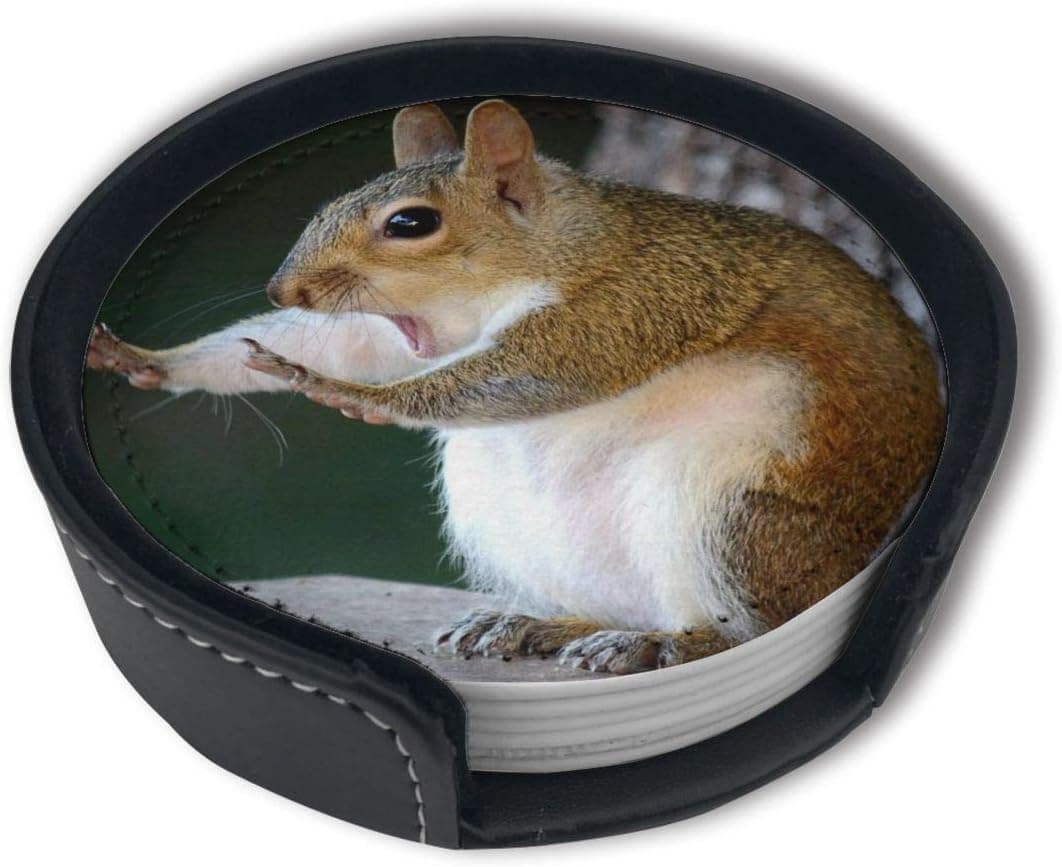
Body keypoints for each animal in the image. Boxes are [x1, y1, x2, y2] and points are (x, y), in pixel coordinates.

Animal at [87, 99, 943, 674]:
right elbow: (342, 341)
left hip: (735, 508)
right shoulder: (395, 329)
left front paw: (354, 395)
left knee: (756, 625)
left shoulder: (636, 300)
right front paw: (152, 358)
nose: (284, 288)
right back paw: (542, 625)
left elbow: (539, 370)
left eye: (410, 223)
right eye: (331, 201)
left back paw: (662, 640)